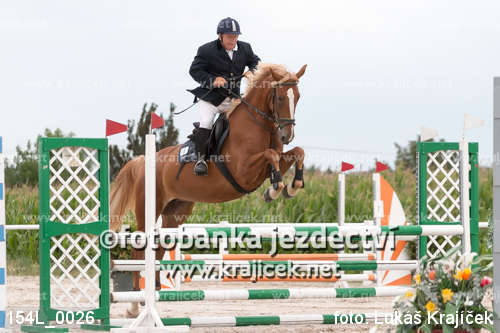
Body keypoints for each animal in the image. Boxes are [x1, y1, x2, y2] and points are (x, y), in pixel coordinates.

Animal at [110, 63, 304, 316]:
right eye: (280, 97)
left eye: (297, 97)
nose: (287, 135)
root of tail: (143, 160)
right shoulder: (244, 171)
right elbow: (270, 154)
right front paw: (276, 188)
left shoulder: (275, 160)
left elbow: (297, 153)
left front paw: (291, 185)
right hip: (148, 208)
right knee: (138, 248)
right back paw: (135, 301)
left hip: (175, 212)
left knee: (159, 247)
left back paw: (155, 290)